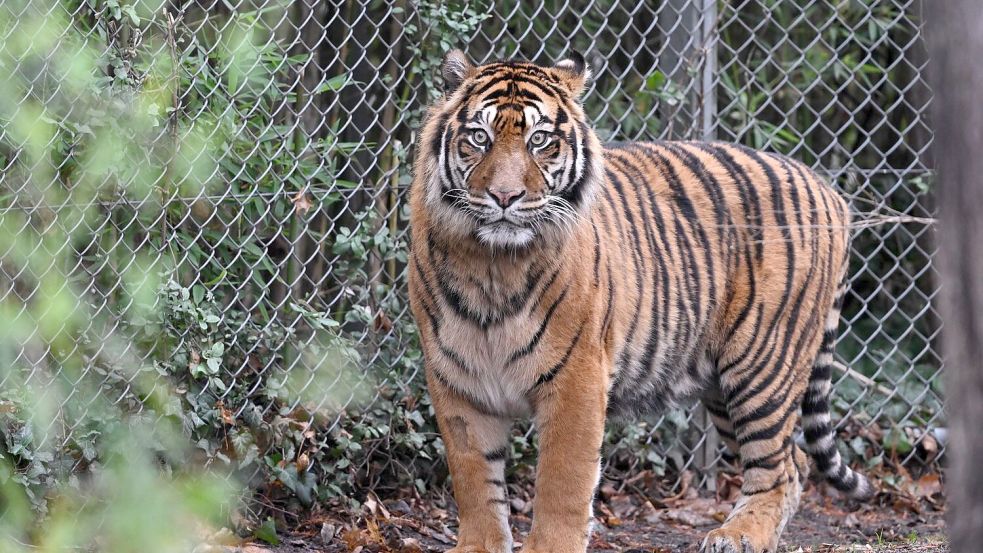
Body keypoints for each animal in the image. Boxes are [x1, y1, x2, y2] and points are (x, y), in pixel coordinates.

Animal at [406, 50, 868, 552]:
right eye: (479, 137)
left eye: (539, 140)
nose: (504, 196)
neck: (491, 265)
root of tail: (830, 192)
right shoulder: (456, 380)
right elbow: (474, 480)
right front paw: (478, 545)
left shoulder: (577, 377)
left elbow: (562, 482)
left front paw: (550, 545)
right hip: (722, 384)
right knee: (796, 463)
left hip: (762, 364)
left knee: (779, 466)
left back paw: (738, 535)